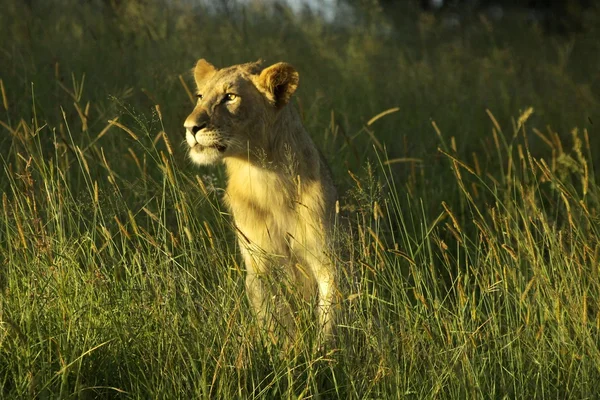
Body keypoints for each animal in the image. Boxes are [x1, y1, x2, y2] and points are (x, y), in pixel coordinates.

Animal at [183, 58, 338, 340]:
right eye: (200, 97)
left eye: (230, 97)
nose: (190, 128)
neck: (263, 178)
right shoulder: (258, 266)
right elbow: (276, 322)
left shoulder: (328, 261)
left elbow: (330, 321)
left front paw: (324, 350)